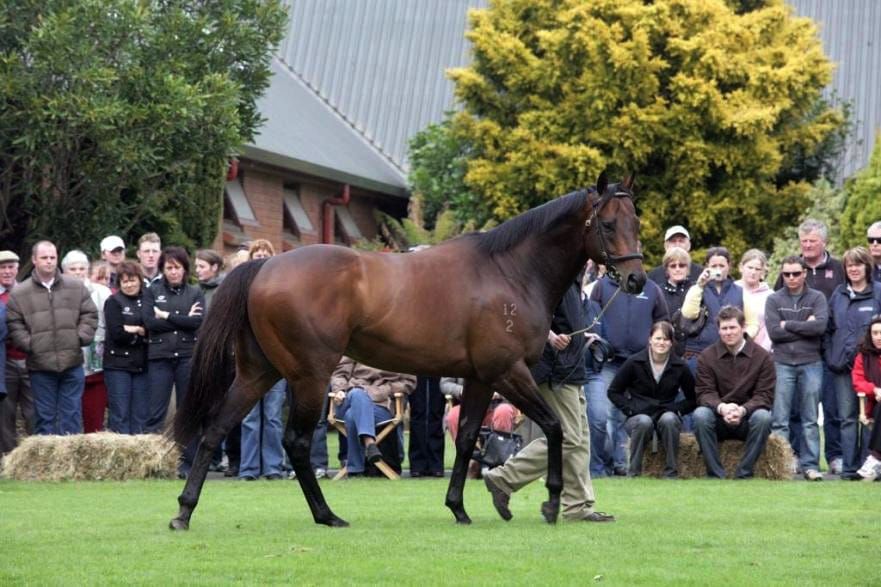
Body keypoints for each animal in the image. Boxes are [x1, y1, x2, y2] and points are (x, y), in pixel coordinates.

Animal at [169, 171, 645, 530]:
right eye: (607, 225)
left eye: (636, 223)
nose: (637, 280)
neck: (508, 271)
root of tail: (265, 264)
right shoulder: (507, 371)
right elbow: (554, 428)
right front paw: (549, 502)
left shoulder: (478, 378)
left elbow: (468, 437)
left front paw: (459, 507)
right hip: (310, 376)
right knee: (296, 443)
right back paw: (327, 515)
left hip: (258, 372)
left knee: (215, 430)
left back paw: (184, 511)